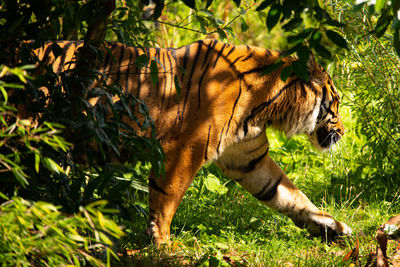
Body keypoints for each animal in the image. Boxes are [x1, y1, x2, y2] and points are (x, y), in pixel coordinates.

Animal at [29, 38, 352, 246]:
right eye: (335, 103)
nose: (344, 131)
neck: (267, 104)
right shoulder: (186, 147)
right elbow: (168, 196)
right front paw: (162, 244)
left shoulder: (248, 158)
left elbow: (288, 194)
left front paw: (333, 227)